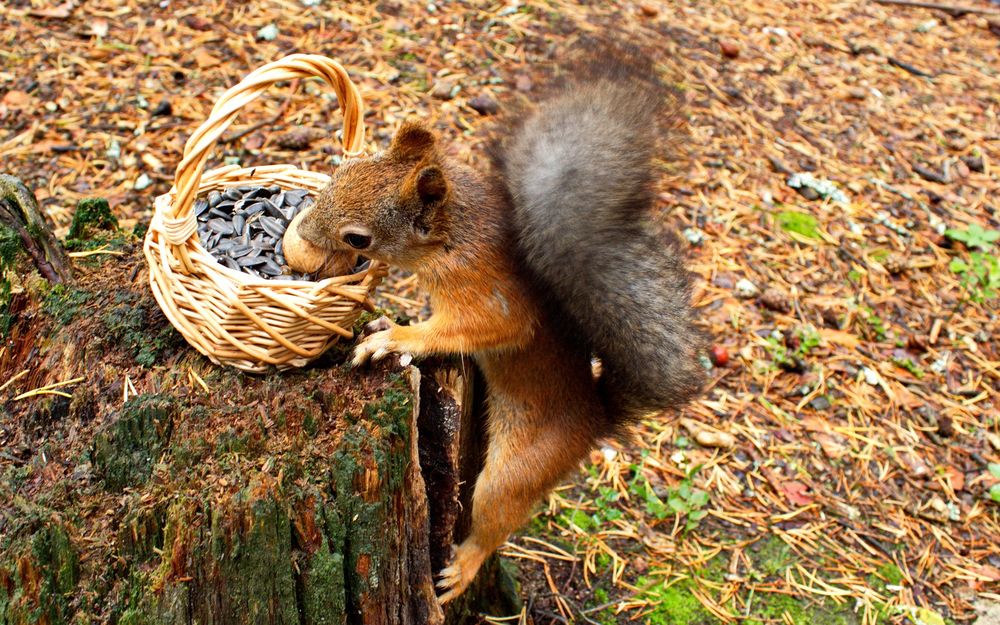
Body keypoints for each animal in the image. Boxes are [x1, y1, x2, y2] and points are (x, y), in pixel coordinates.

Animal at [292, 46, 708, 604]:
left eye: (358, 238)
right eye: (340, 172)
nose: (302, 231)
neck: (451, 235)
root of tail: (595, 419)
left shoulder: (486, 295)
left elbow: (483, 327)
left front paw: (392, 338)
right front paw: (380, 321)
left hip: (518, 469)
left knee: (494, 519)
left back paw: (462, 567)